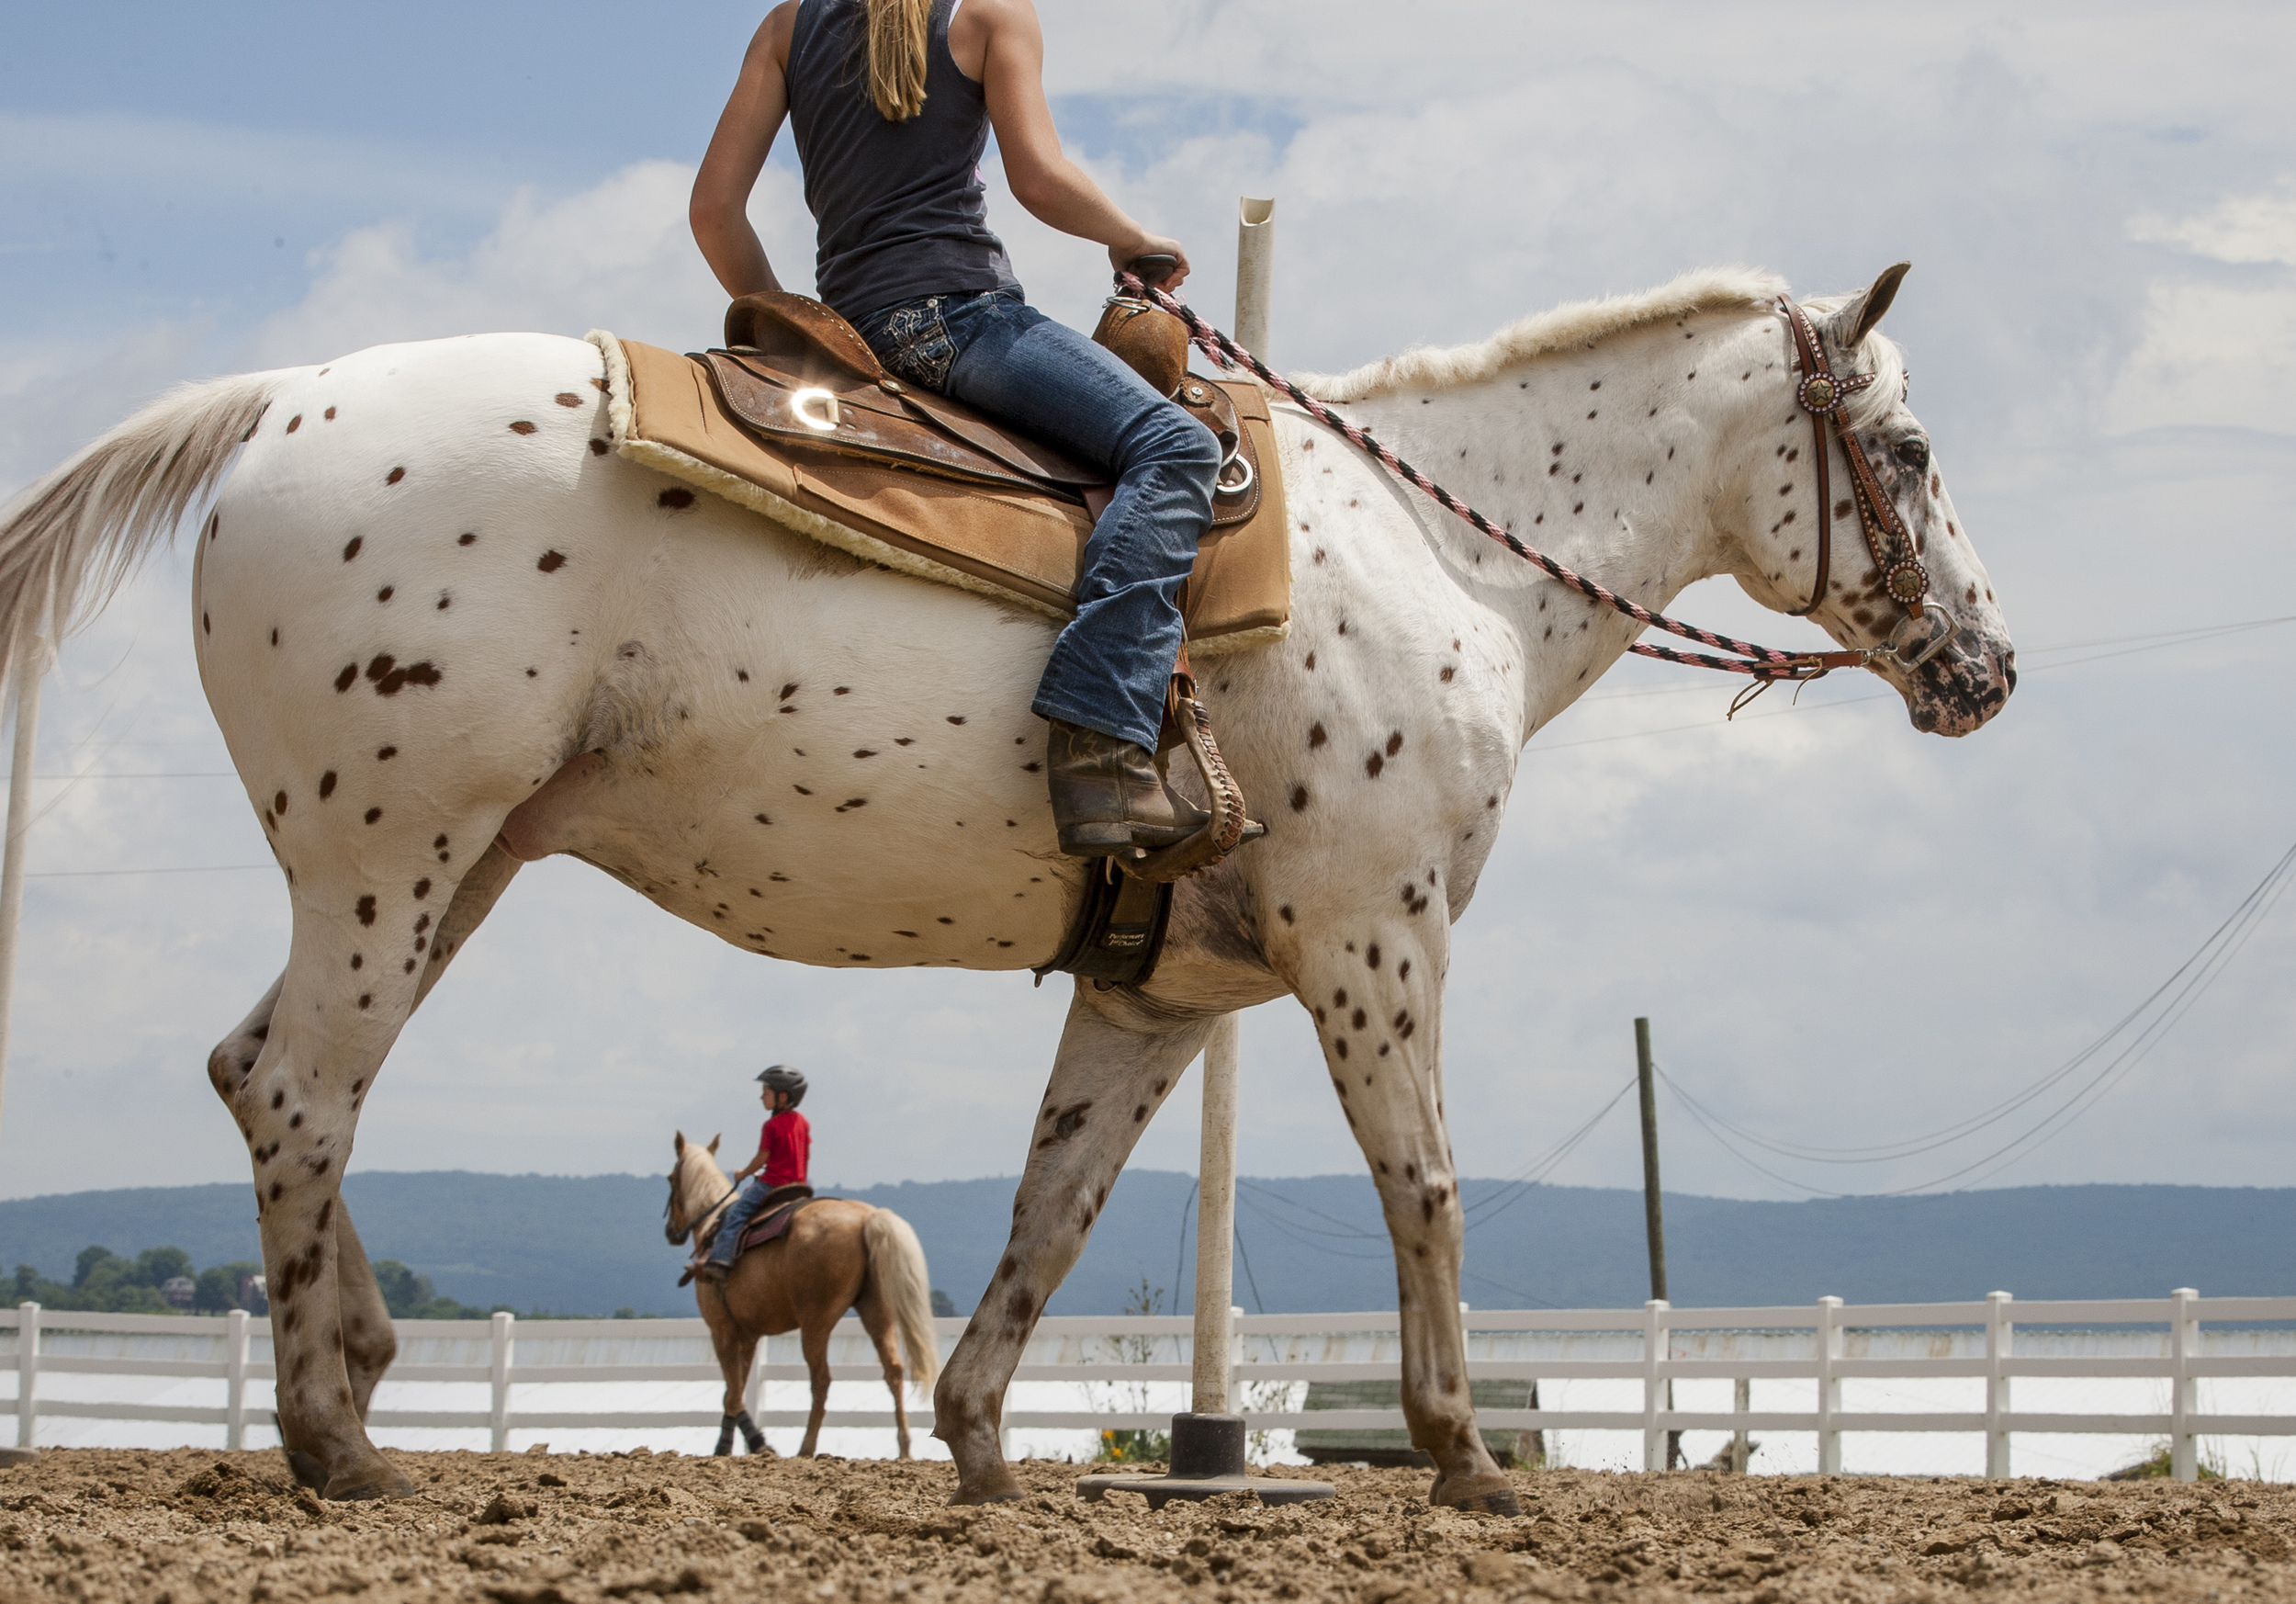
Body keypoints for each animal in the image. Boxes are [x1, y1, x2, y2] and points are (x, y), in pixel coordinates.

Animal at [666, 1130, 941, 1452]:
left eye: (671, 1178)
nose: (671, 1231)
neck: (713, 1226)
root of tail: (866, 1219)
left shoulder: (722, 1330)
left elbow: (732, 1391)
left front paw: (730, 1446)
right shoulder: (748, 1336)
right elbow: (735, 1390)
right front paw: (756, 1443)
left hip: (815, 1323)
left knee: (821, 1379)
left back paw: (807, 1447)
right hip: (876, 1312)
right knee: (893, 1371)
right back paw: (904, 1447)